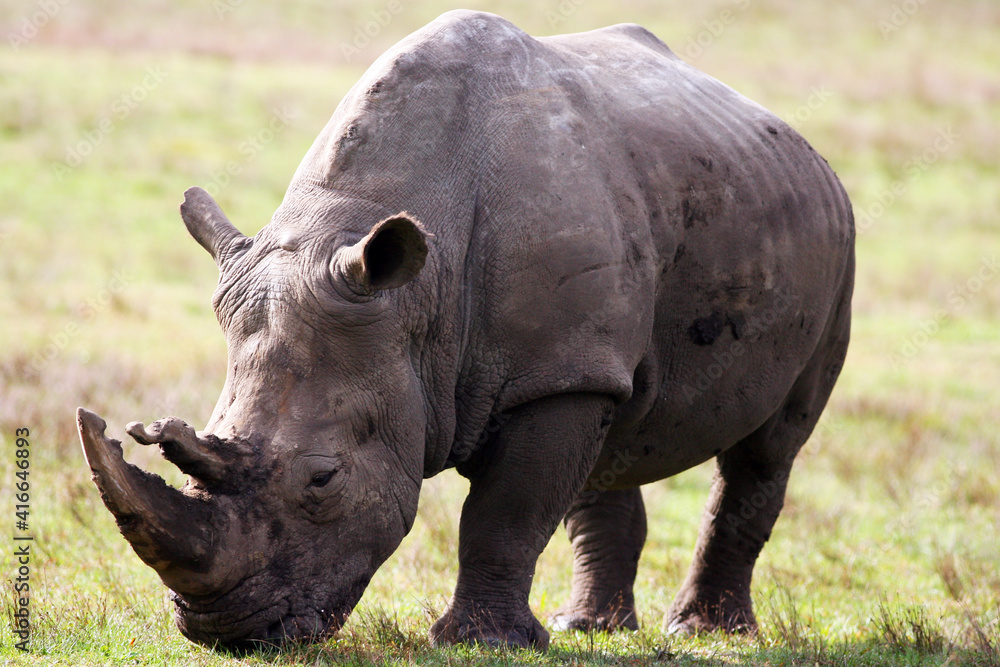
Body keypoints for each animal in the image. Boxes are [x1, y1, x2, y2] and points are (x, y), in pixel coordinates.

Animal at [77, 10, 854, 650]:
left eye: (324, 479)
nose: (226, 632)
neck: (412, 298)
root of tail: (806, 146)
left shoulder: (550, 375)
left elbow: (507, 512)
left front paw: (482, 643)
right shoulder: (561, 358)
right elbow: (543, 489)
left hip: (836, 244)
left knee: (769, 448)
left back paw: (707, 632)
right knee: (614, 424)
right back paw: (591, 627)